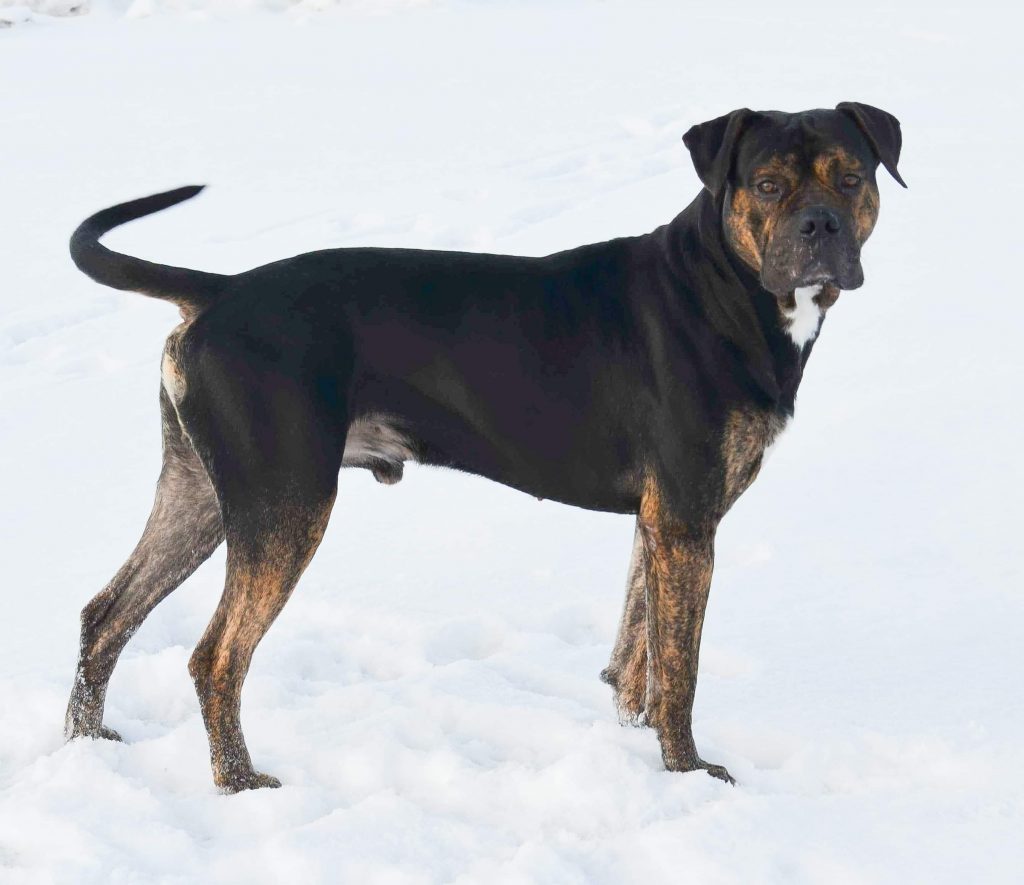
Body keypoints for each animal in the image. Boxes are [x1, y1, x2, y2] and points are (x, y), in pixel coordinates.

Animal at [66, 101, 905, 786]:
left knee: (105, 615)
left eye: (852, 177)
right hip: (285, 504)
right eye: (766, 185)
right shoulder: (688, 518)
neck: (724, 288)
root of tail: (221, 289)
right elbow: (680, 667)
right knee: (217, 654)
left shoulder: (658, 520)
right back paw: (240, 782)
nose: (820, 227)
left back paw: (87, 747)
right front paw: (689, 774)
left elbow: (636, 655)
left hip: (199, 495)